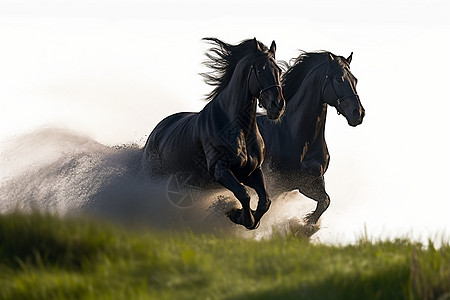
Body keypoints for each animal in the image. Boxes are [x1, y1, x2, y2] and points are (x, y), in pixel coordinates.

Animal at [143, 38, 284, 230]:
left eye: (279, 70)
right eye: (260, 70)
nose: (278, 106)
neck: (239, 129)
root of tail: (155, 134)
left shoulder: (251, 171)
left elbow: (265, 201)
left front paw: (249, 217)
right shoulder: (220, 170)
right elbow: (243, 194)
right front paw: (236, 215)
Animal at [256, 51, 366, 225]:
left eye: (355, 80)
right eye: (339, 79)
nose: (358, 113)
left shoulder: (309, 182)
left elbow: (325, 201)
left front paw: (307, 224)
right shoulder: (275, 186)